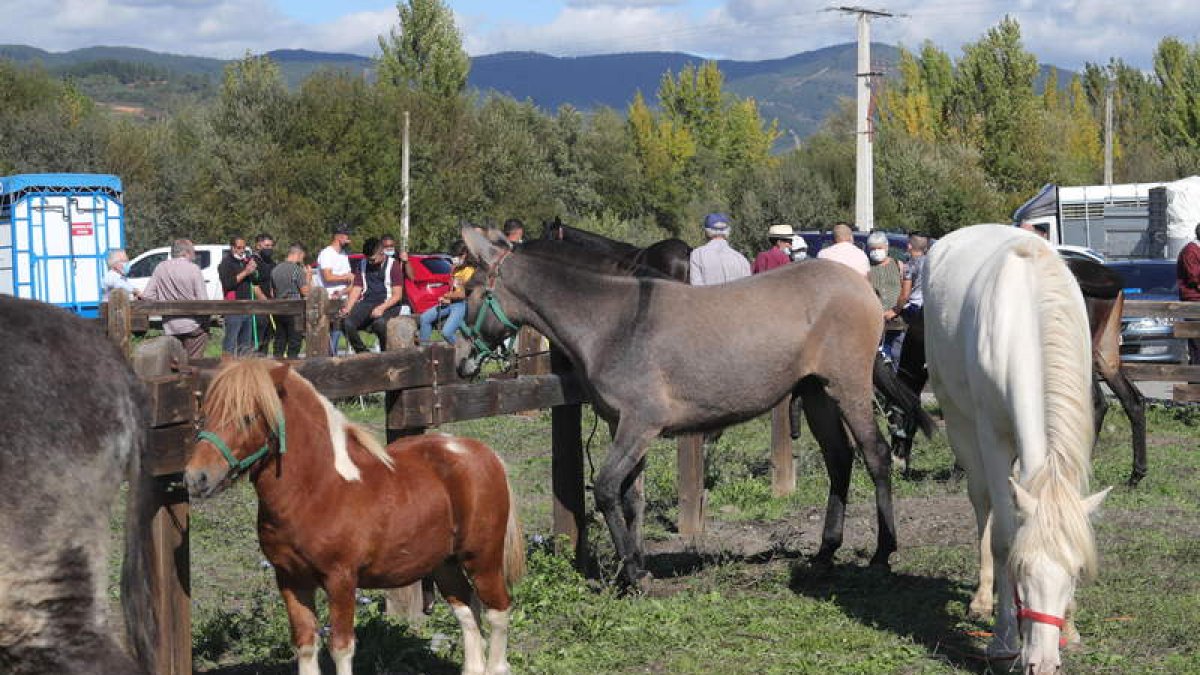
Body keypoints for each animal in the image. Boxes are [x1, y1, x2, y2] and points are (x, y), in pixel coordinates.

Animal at [185, 359, 525, 675]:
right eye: (205, 414)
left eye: (248, 416)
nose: (195, 478)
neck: (318, 489)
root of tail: (483, 453)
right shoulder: (290, 579)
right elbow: (305, 644)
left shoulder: (341, 580)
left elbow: (341, 648)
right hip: (446, 564)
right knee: (467, 611)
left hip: (483, 559)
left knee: (498, 611)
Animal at [460, 226, 931, 587]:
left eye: (472, 290)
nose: (463, 358)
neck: (613, 322)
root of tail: (861, 285)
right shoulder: (621, 426)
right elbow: (631, 498)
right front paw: (635, 566)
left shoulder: (640, 423)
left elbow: (608, 488)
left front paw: (633, 573)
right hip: (816, 392)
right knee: (839, 459)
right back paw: (825, 550)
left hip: (848, 387)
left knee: (876, 455)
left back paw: (882, 551)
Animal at [924, 225, 1111, 673]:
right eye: (1022, 570)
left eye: (1077, 571)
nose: (1042, 664)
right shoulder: (991, 435)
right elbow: (1005, 536)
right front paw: (1004, 639)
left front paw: (1070, 627)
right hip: (960, 423)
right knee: (983, 503)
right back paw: (982, 597)